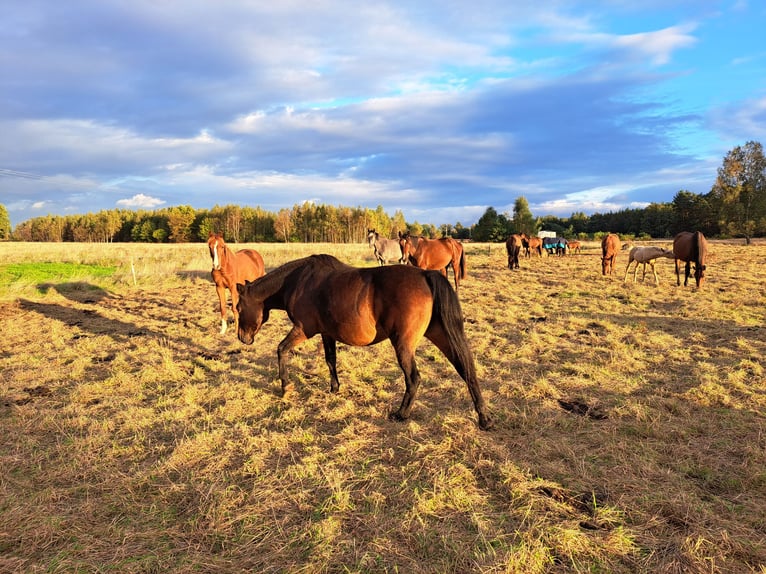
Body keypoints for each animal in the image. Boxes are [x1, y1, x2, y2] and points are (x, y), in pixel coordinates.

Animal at [237, 254, 496, 430]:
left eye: (238, 307)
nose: (242, 338)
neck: (299, 281)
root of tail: (425, 274)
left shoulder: (303, 329)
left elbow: (281, 349)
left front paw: (285, 387)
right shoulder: (327, 333)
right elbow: (330, 360)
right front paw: (334, 388)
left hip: (403, 344)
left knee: (414, 378)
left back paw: (401, 414)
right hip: (441, 334)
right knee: (466, 369)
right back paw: (484, 418)